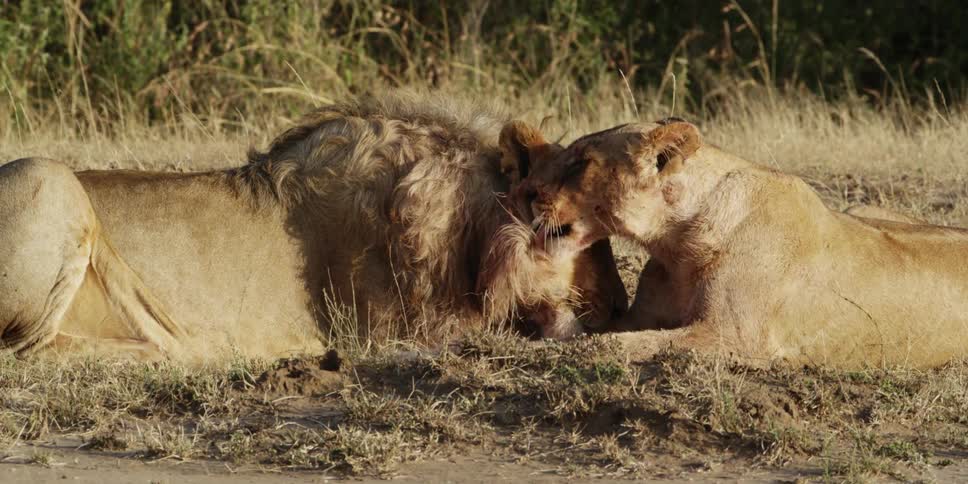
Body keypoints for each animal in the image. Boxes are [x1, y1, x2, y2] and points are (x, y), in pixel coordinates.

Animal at [0, 92, 627, 362]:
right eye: (566, 234)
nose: (620, 307)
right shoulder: (396, 333)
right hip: (49, 175)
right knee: (29, 350)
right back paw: (203, 349)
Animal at [513, 118, 968, 368]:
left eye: (580, 162)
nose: (528, 192)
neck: (675, 245)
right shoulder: (644, 313)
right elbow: (609, 333)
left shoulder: (733, 336)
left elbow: (610, 345)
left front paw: (551, 348)